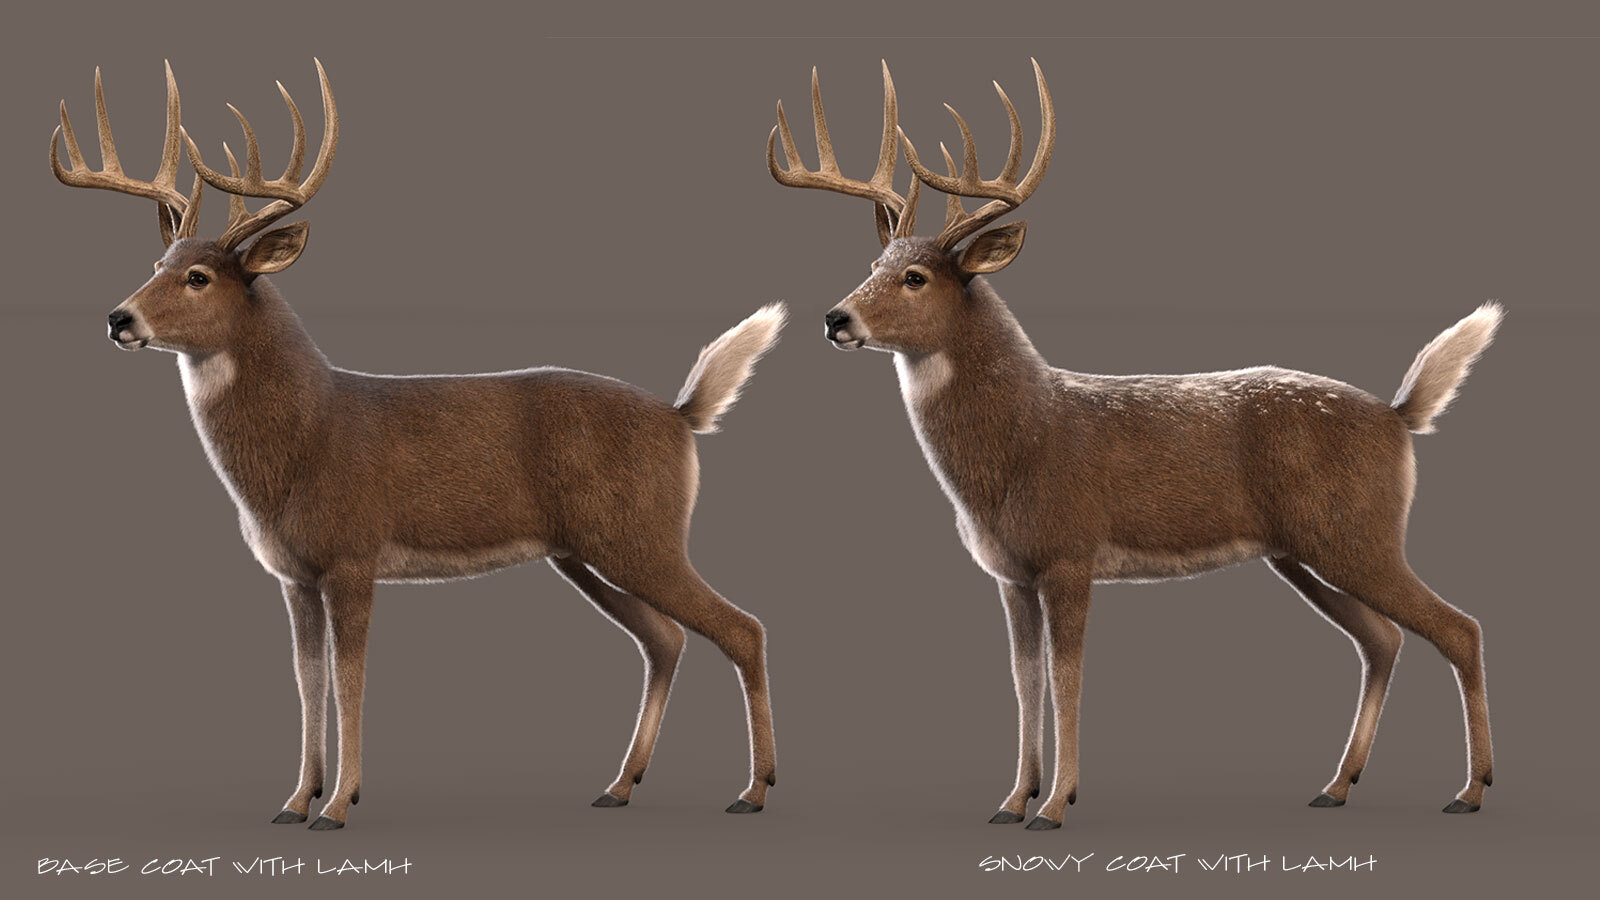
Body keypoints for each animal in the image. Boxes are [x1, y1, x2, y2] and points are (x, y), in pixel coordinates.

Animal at [52, 61, 784, 829]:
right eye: (156, 263)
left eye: (198, 277)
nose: (119, 318)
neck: (307, 439)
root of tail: (681, 416)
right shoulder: (294, 574)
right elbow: (307, 680)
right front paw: (295, 800)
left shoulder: (352, 553)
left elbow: (350, 679)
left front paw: (338, 805)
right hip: (582, 549)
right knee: (664, 638)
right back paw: (620, 785)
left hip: (642, 533)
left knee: (743, 628)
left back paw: (753, 790)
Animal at [769, 60, 1500, 830]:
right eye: (871, 265)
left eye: (916, 277)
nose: (836, 318)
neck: (1021, 444)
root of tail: (1398, 416)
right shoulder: (1010, 573)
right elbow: (1024, 679)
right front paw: (1012, 800)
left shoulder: (1070, 552)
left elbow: (1068, 678)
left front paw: (1055, 805)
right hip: (1300, 550)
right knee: (1382, 639)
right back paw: (1337, 785)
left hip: (1358, 533)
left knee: (1459, 628)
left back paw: (1470, 789)